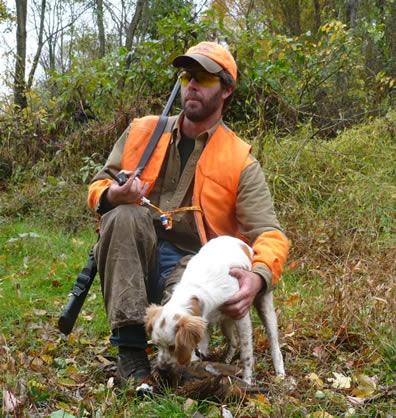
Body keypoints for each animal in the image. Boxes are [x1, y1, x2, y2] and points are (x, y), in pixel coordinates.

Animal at [145, 233, 284, 384]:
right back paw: (227, 360)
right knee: (233, 341)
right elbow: (200, 352)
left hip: (265, 307)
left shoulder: (242, 316)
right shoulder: (204, 325)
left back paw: (280, 372)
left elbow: (246, 355)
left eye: (173, 347)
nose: (162, 369)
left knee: (274, 343)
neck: (196, 290)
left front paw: (247, 381)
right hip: (226, 322)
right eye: (157, 344)